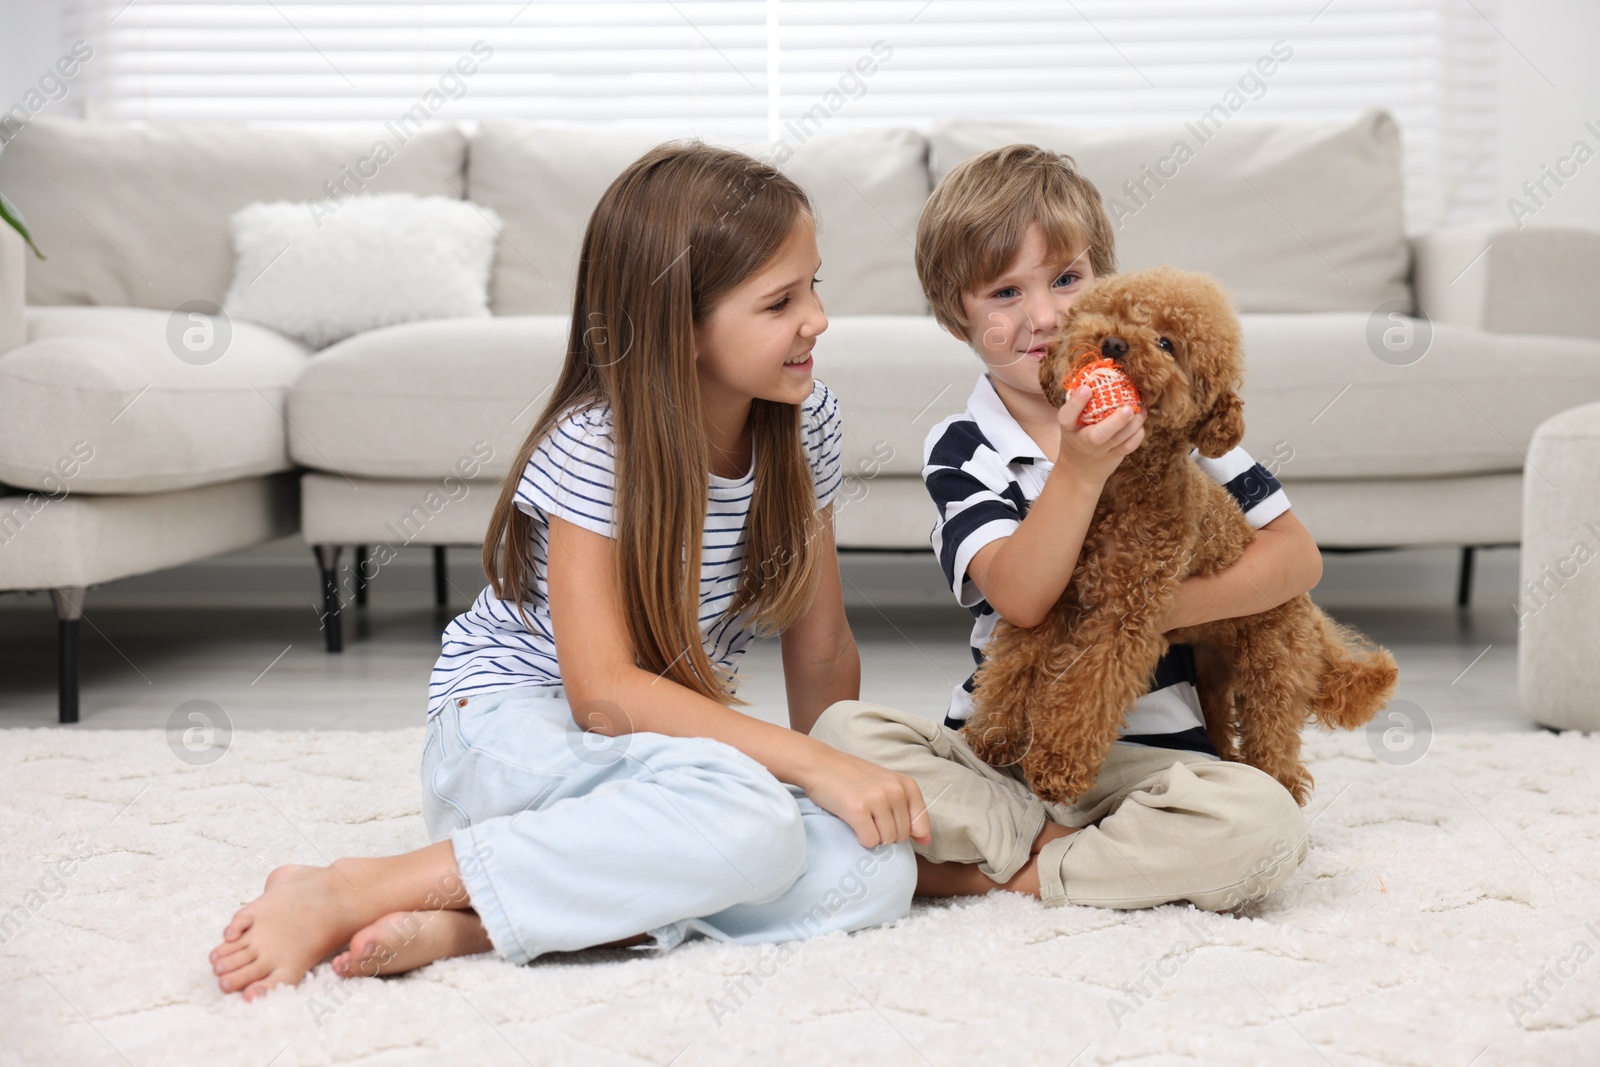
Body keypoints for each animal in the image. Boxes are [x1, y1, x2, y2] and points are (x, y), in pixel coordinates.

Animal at [960, 265, 1401, 799]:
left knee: (1278, 756)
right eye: (1112, 312)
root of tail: (1312, 616)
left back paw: (1277, 789)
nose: (1113, 342)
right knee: (1223, 733)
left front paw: (1057, 766)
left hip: (1272, 672)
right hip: (1213, 676)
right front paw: (995, 736)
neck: (1119, 487)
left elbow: (1088, 688)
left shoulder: (1125, 617)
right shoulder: (1054, 593)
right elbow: (1016, 666)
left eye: (1167, 343)